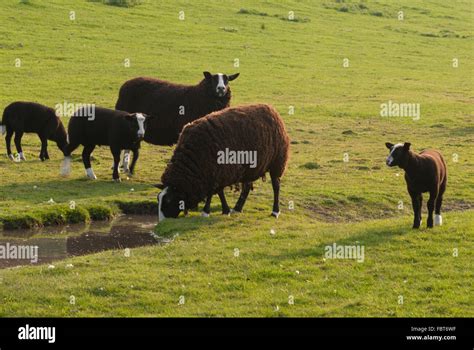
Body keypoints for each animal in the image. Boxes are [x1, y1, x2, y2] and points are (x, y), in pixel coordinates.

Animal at [156, 102, 288, 221]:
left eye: (169, 201)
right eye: (158, 199)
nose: (162, 222)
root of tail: (271, 110)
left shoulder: (217, 172)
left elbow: (212, 192)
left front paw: (206, 211)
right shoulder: (217, 173)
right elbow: (219, 192)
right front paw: (226, 210)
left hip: (277, 162)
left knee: (276, 186)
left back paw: (275, 211)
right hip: (249, 169)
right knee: (246, 187)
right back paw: (237, 208)